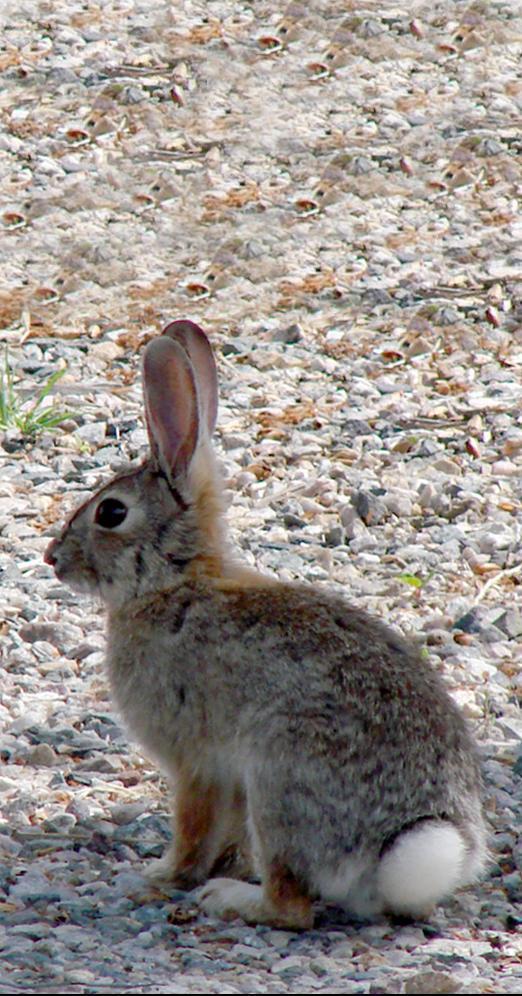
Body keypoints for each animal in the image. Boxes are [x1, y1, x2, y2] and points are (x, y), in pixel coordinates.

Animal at [42, 320, 486, 932]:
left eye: (111, 512)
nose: (53, 558)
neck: (173, 584)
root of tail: (399, 853)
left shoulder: (196, 762)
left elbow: (193, 829)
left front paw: (160, 878)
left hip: (279, 776)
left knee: (291, 907)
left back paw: (230, 899)